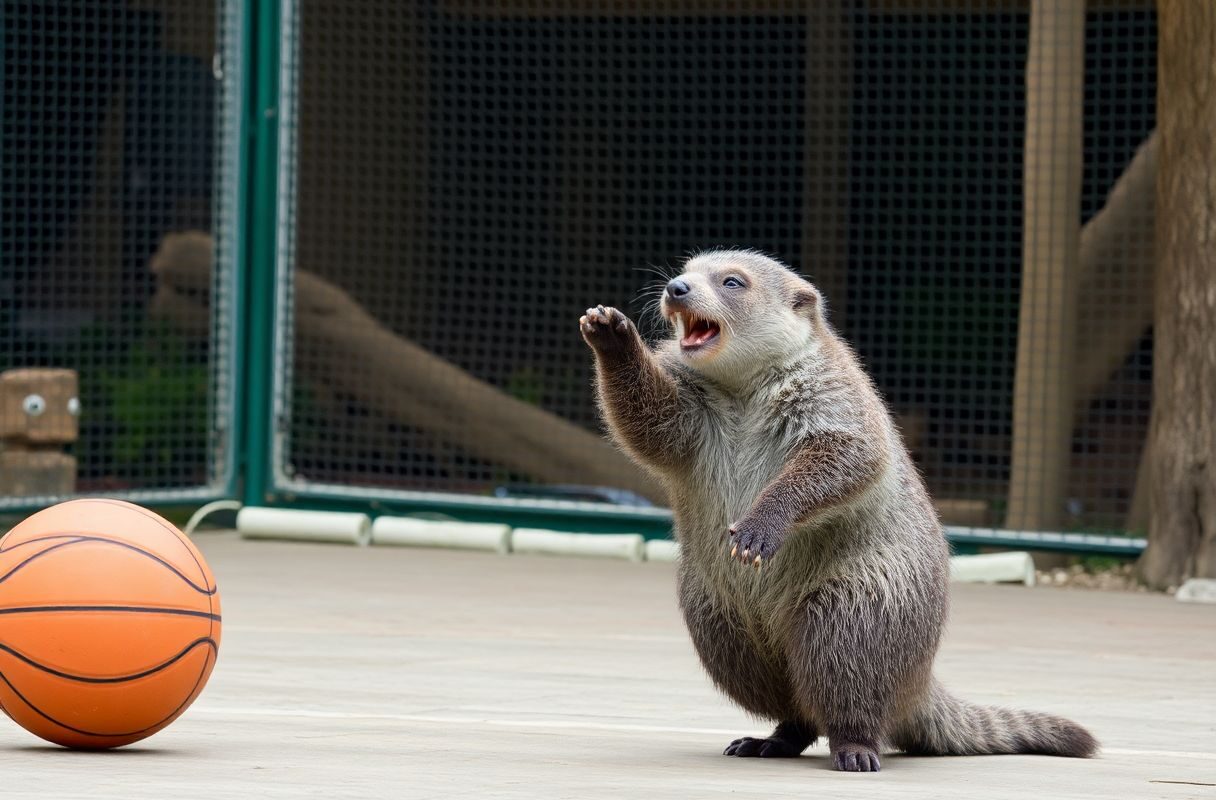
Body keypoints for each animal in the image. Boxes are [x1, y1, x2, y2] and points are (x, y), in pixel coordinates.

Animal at [573, 250, 1099, 773]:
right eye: (688, 268)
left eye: (732, 281)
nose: (676, 288)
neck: (741, 388)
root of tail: (918, 683)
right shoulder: (692, 408)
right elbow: (649, 421)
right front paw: (611, 335)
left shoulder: (834, 394)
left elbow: (848, 456)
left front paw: (764, 522)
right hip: (715, 610)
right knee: (777, 686)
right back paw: (776, 734)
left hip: (865, 597)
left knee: (843, 664)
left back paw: (854, 742)